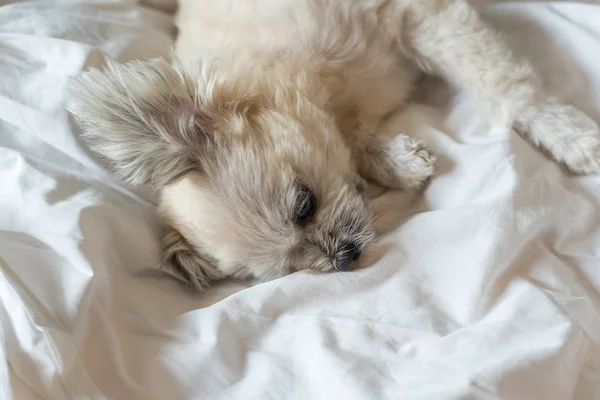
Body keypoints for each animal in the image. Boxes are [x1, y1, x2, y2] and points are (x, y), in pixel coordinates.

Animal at [64, 0, 600, 288]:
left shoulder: (420, 16)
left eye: (304, 205)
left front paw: (567, 133)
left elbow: (505, 88)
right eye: (288, 269)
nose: (342, 256)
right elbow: (357, 146)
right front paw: (398, 161)